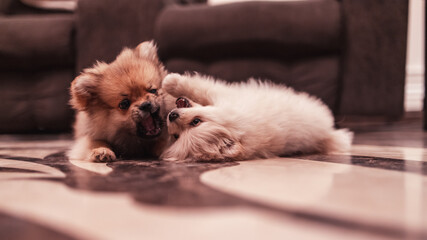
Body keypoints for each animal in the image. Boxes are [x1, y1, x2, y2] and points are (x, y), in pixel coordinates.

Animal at [161, 73, 354, 161]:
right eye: (176, 136)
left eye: (196, 122)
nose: (172, 115)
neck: (239, 130)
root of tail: (327, 134)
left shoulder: (223, 96)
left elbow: (199, 88)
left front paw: (171, 81)